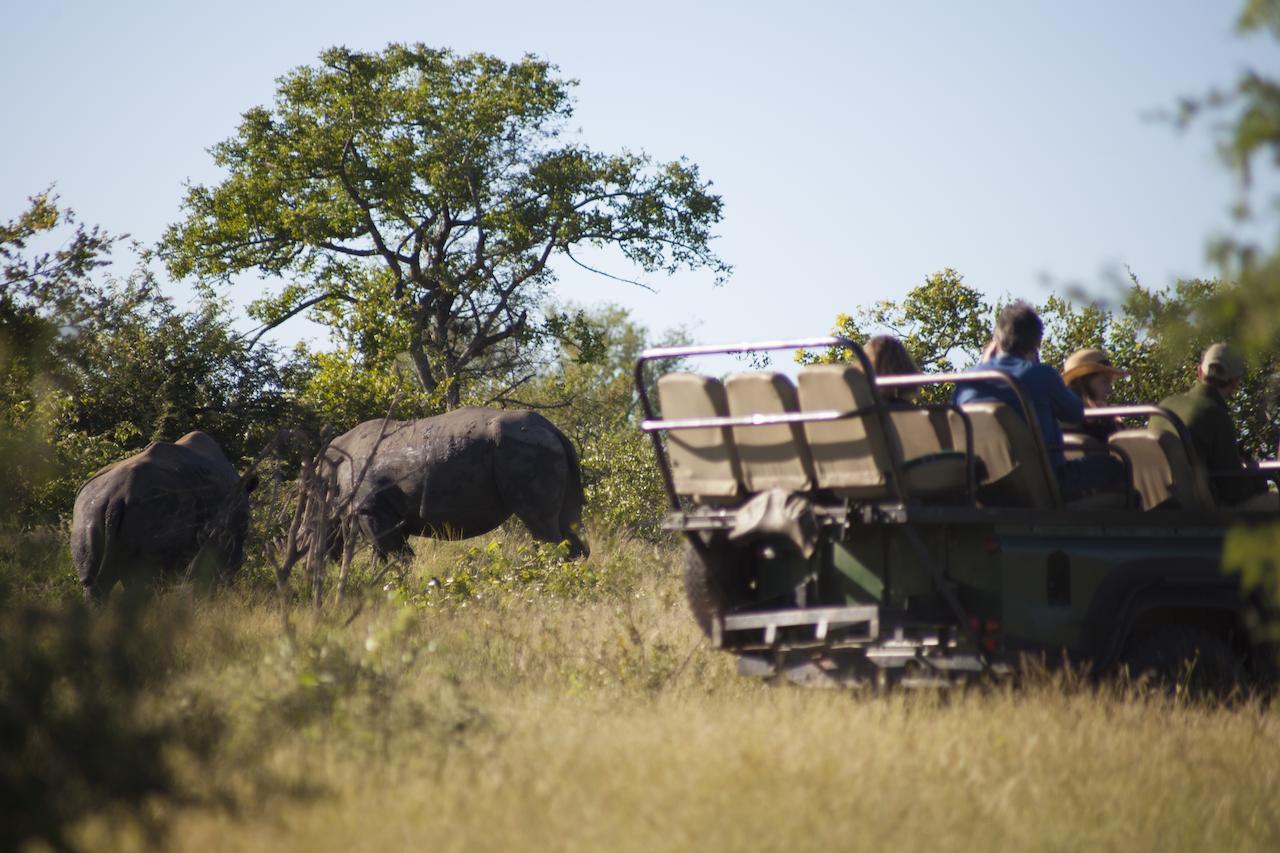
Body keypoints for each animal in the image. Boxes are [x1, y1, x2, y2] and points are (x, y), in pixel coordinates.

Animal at [317, 404, 586, 558]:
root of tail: (554, 430)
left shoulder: (370, 509)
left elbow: (396, 555)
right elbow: (382, 555)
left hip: (525, 448)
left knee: (540, 525)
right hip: (549, 448)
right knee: (568, 522)